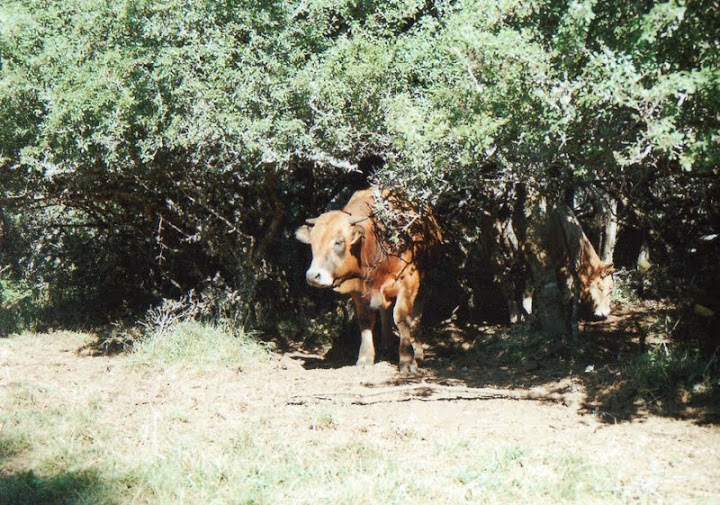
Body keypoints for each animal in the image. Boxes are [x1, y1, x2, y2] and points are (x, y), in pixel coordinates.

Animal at [296, 187, 442, 372]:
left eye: (339, 242)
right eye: (312, 243)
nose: (313, 275)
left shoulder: (408, 281)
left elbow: (402, 318)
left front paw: (407, 360)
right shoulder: (358, 290)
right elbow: (366, 321)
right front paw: (365, 357)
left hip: (425, 281)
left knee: (416, 314)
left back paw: (418, 351)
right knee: (385, 313)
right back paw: (386, 346)